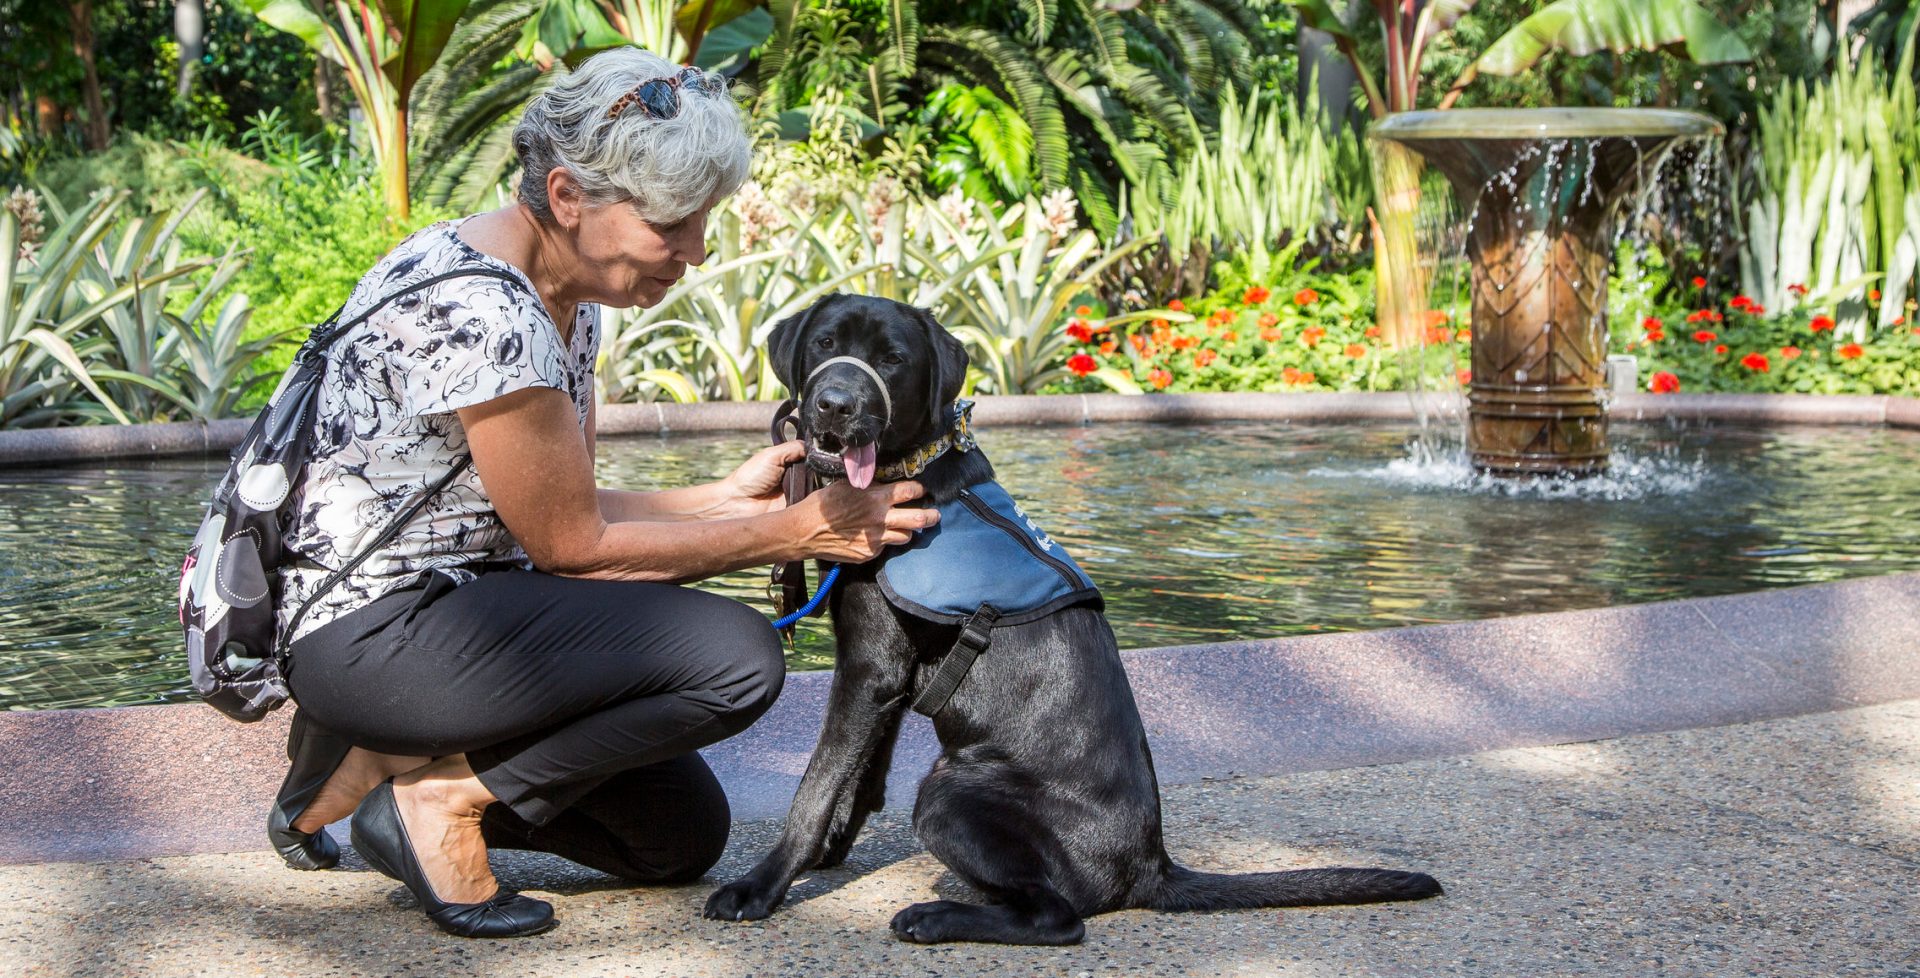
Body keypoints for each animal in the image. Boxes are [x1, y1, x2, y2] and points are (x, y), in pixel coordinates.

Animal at [706, 293, 1443, 941]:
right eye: (825, 344)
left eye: (891, 360)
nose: (835, 405)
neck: (908, 471)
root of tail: (1151, 866)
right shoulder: (884, 673)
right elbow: (858, 778)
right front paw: (827, 853)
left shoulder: (868, 669)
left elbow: (815, 786)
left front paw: (763, 886)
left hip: (949, 791)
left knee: (1059, 918)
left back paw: (937, 918)